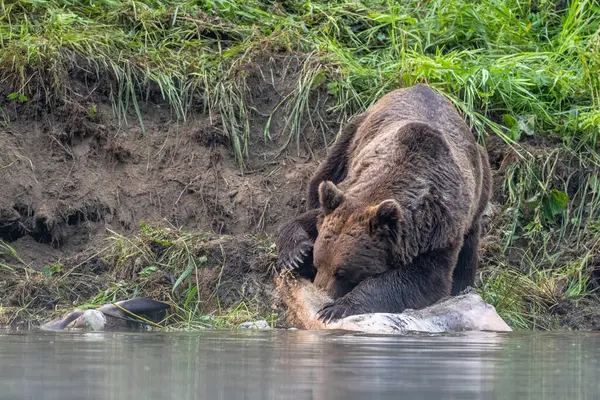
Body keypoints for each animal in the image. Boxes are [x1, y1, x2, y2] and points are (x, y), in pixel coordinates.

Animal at [276, 83, 492, 322]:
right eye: (318, 261)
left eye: (341, 272)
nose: (322, 291)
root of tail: (421, 86)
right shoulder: (345, 197)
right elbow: (305, 220)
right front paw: (297, 255)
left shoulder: (438, 231)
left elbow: (422, 280)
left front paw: (338, 308)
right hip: (351, 136)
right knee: (322, 178)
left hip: (480, 180)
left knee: (468, 248)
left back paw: (463, 286)